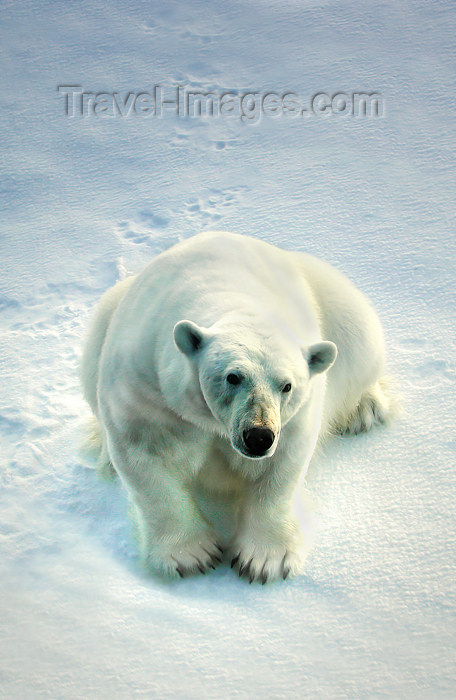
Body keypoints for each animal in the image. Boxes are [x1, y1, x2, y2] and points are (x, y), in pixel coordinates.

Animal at [82, 232, 396, 584]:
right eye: (233, 377)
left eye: (287, 385)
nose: (258, 436)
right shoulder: (148, 387)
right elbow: (144, 458)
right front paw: (192, 555)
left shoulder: (294, 415)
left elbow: (282, 466)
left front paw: (265, 560)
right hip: (106, 316)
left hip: (334, 301)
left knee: (359, 338)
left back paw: (364, 410)